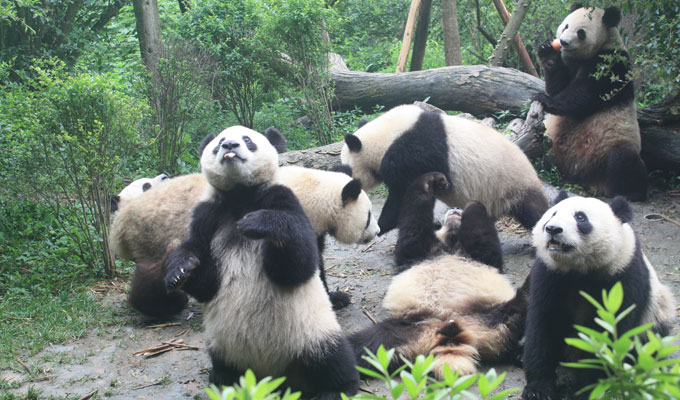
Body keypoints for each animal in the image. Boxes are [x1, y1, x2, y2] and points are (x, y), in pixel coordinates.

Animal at [161, 126, 358, 398]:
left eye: (247, 140)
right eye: (219, 143)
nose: (230, 146)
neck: (239, 196)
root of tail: (272, 377)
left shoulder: (281, 197)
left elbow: (301, 263)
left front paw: (257, 223)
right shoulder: (207, 214)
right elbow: (205, 281)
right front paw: (182, 269)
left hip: (310, 334)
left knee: (333, 359)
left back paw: (336, 388)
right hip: (222, 343)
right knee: (222, 359)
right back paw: (223, 377)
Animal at [340, 103, 548, 234]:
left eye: (347, 169)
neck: (387, 136)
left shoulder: (411, 156)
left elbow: (402, 194)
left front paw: (382, 225)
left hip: (514, 183)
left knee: (534, 210)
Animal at [520, 192, 676, 398]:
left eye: (580, 217)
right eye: (553, 214)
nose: (553, 228)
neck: (579, 268)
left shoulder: (622, 272)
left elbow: (609, 330)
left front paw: (585, 389)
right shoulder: (550, 272)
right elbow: (544, 323)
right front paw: (538, 389)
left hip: (655, 316)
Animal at [532, 4, 648, 202]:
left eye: (581, 32)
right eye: (566, 25)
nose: (563, 42)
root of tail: (584, 179)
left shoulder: (612, 63)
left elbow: (585, 94)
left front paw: (544, 99)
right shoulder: (569, 63)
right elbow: (558, 86)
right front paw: (548, 52)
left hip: (614, 144)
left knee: (624, 160)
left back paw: (633, 192)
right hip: (550, 142)